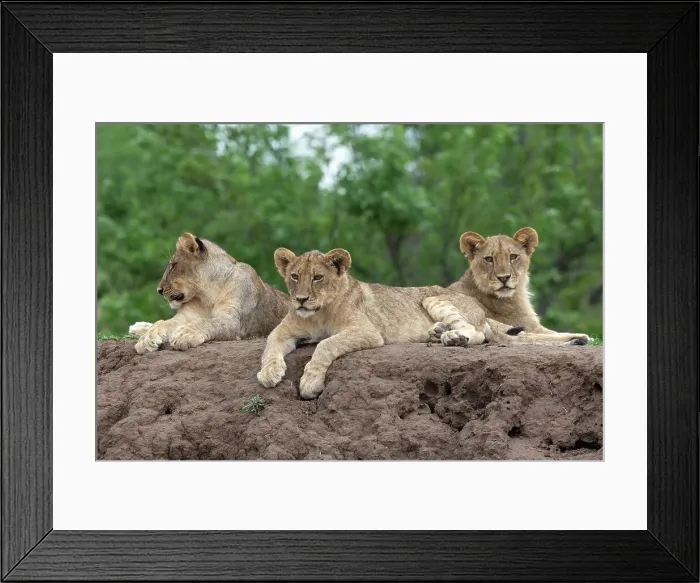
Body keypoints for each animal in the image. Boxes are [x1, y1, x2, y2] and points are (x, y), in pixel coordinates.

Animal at [132, 233, 291, 354]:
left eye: (173, 266)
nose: (159, 290)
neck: (207, 295)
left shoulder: (233, 323)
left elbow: (206, 322)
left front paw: (184, 334)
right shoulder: (185, 316)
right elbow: (162, 323)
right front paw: (146, 339)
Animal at [256, 247, 493, 400]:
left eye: (317, 277)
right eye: (295, 276)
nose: (301, 299)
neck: (317, 314)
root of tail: (478, 305)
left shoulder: (366, 330)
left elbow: (326, 344)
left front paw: (310, 383)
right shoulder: (283, 330)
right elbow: (269, 346)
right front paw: (269, 372)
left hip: (433, 298)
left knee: (476, 332)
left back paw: (452, 338)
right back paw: (438, 332)